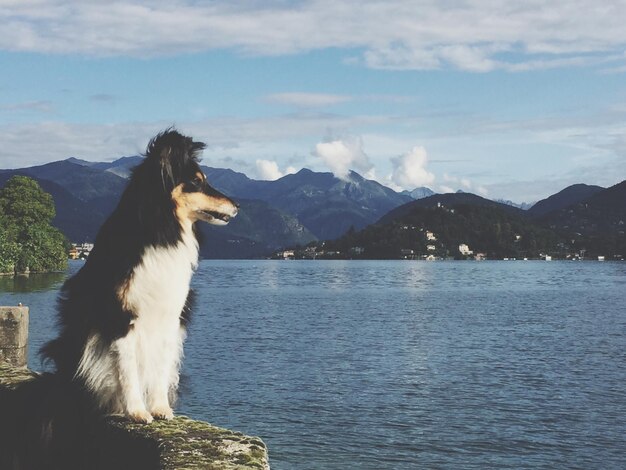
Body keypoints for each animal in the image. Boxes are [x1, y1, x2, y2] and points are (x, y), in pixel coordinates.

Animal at [41, 130, 236, 424]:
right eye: (196, 182)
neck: (162, 232)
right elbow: (128, 369)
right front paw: (136, 411)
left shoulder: (169, 316)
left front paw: (160, 408)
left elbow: (159, 368)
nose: (237, 206)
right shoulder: (120, 316)